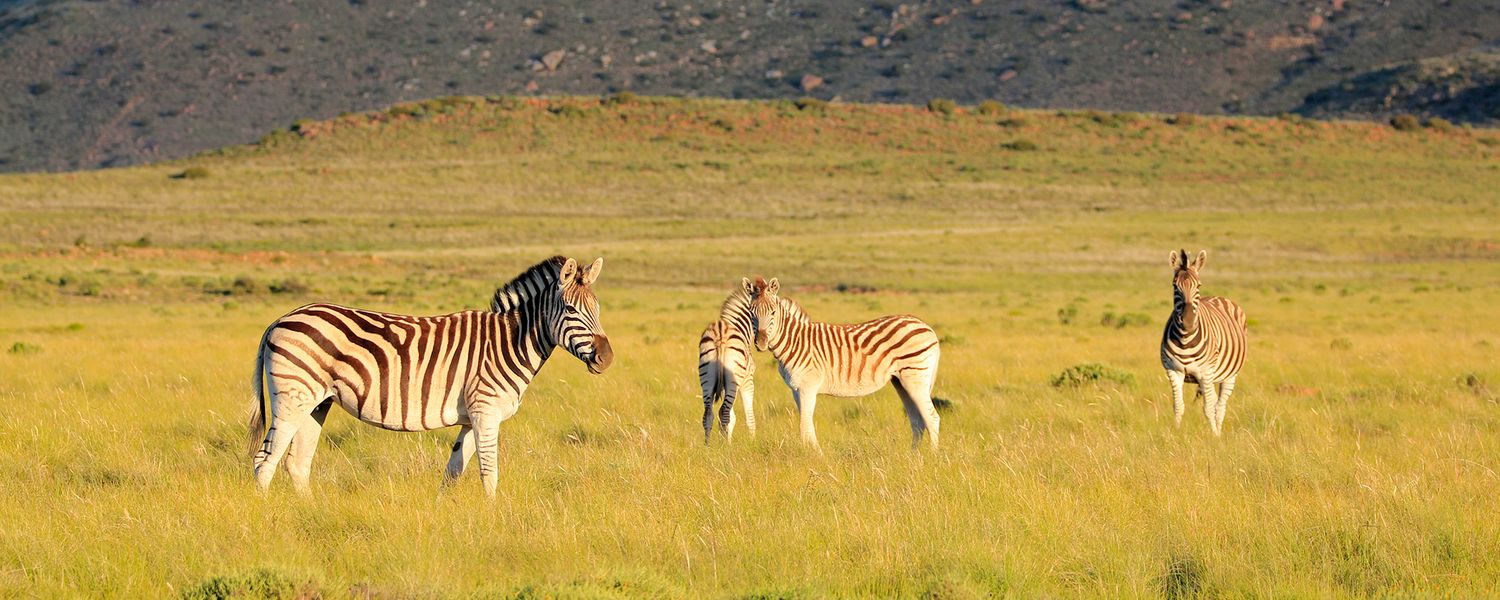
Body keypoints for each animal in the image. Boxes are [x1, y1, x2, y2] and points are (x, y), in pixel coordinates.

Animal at [249, 256, 613, 497]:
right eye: (570, 310)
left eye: (598, 309)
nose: (607, 358)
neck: (508, 342)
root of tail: (280, 319)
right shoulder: (486, 412)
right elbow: (489, 472)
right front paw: (495, 519)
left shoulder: (471, 417)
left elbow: (453, 472)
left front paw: (445, 517)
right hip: (293, 397)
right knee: (264, 460)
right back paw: (269, 519)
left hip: (317, 403)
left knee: (296, 463)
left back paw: (310, 514)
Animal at [698, 287, 757, 445]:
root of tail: (720, 333)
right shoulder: (747, 381)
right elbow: (749, 415)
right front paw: (752, 442)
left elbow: (731, 417)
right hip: (733, 380)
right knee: (724, 412)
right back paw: (724, 447)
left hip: (706, 377)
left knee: (708, 413)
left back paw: (707, 446)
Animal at [744, 276, 942, 450]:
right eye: (752, 313)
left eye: (773, 312)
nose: (761, 343)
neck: (795, 342)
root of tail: (927, 327)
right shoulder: (796, 389)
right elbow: (807, 424)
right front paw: (813, 454)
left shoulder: (808, 387)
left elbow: (804, 426)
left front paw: (815, 456)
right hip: (901, 382)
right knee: (917, 421)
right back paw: (913, 457)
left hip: (915, 378)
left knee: (932, 418)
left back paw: (931, 457)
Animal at [1161, 249, 1247, 436]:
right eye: (1175, 286)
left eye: (1198, 286)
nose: (1187, 321)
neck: (1185, 339)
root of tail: (1217, 297)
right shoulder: (1173, 371)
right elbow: (1178, 406)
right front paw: (1175, 434)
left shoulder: (1205, 373)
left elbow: (1208, 408)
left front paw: (1214, 437)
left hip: (1229, 375)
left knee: (1220, 406)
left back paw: (1219, 434)